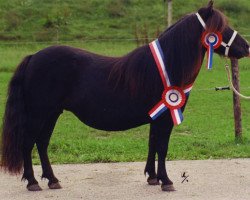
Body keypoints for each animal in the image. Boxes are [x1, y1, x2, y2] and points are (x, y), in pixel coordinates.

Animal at [0, 1, 250, 192]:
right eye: (222, 27)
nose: (246, 46)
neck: (167, 65)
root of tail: (33, 57)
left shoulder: (157, 115)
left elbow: (152, 144)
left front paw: (152, 177)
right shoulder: (164, 117)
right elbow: (162, 147)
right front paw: (166, 181)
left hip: (51, 113)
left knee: (41, 144)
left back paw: (52, 180)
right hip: (39, 114)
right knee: (28, 143)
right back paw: (33, 182)